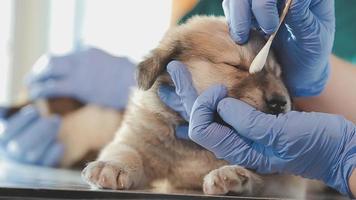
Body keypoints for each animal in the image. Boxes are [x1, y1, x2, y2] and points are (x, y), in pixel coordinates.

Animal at [81, 16, 306, 198]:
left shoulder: (283, 178)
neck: (198, 144)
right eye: (236, 66)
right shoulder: (137, 140)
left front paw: (233, 174)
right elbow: (125, 151)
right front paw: (111, 166)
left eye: (278, 75)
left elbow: (262, 178)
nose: (280, 103)